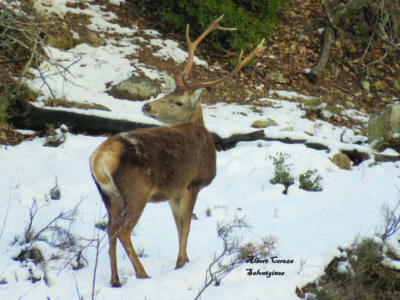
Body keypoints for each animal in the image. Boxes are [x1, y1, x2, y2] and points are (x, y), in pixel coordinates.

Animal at [90, 15, 266, 288]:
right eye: (167, 93)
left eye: (177, 100)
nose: (146, 105)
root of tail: (100, 159)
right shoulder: (193, 183)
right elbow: (186, 226)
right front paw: (182, 262)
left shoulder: (173, 193)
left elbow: (177, 225)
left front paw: (184, 259)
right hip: (137, 191)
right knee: (123, 231)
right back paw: (142, 274)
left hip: (109, 195)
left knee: (109, 230)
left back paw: (115, 280)